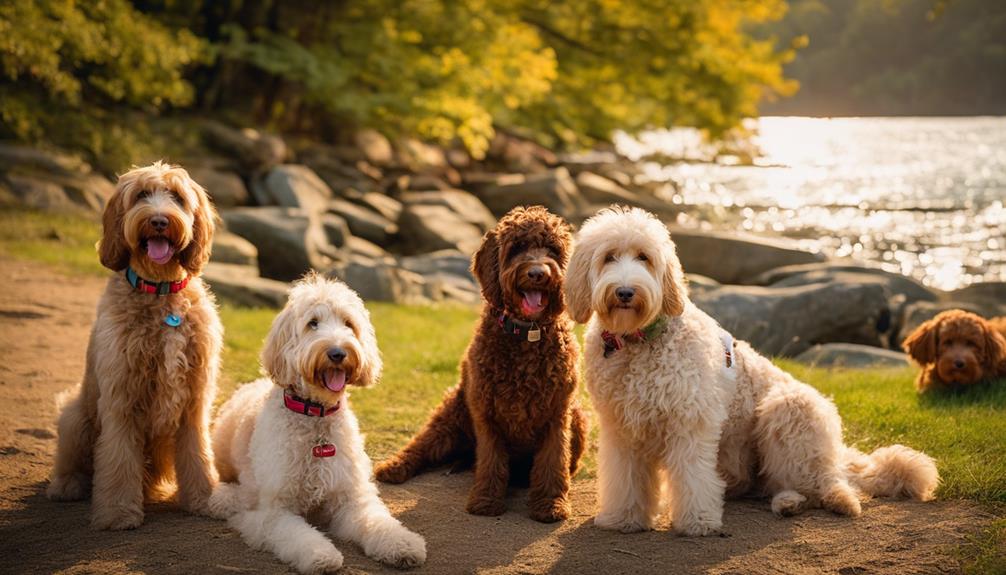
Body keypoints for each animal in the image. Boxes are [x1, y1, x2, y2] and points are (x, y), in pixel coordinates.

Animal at [46, 161, 222, 530]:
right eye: (141, 195)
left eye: (177, 197)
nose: (159, 220)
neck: (160, 290)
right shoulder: (121, 397)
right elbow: (118, 459)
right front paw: (117, 513)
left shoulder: (195, 400)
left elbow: (198, 453)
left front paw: (205, 500)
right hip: (74, 417)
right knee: (73, 463)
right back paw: (67, 485)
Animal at [374, 205, 587, 522]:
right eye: (517, 248)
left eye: (552, 249)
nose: (538, 273)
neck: (527, 334)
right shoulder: (488, 414)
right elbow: (491, 460)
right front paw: (486, 500)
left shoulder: (557, 413)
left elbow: (553, 461)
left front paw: (550, 503)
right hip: (449, 421)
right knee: (421, 446)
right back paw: (394, 467)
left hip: (580, 418)